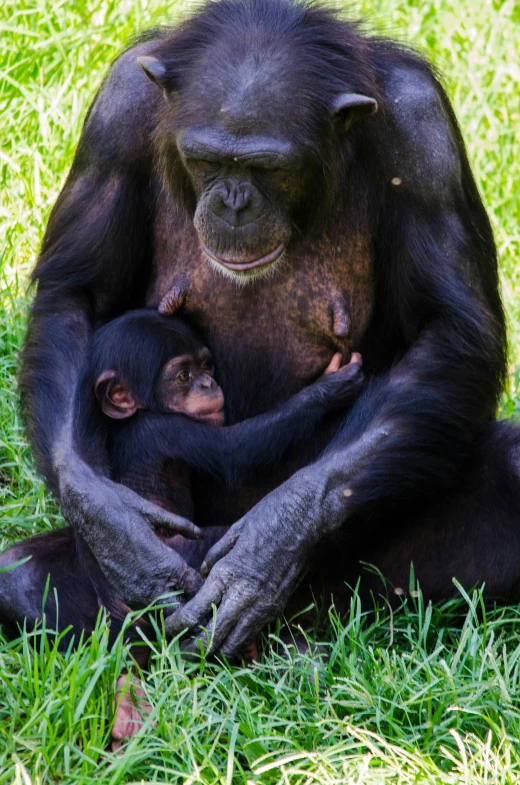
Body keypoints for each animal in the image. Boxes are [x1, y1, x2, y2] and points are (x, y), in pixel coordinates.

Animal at [14, 0, 516, 652]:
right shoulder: (116, 114)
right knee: (19, 578)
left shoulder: (423, 134)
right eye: (206, 159)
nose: (233, 200)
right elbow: (79, 291)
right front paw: (112, 531)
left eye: (266, 166)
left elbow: (449, 328)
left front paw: (270, 545)